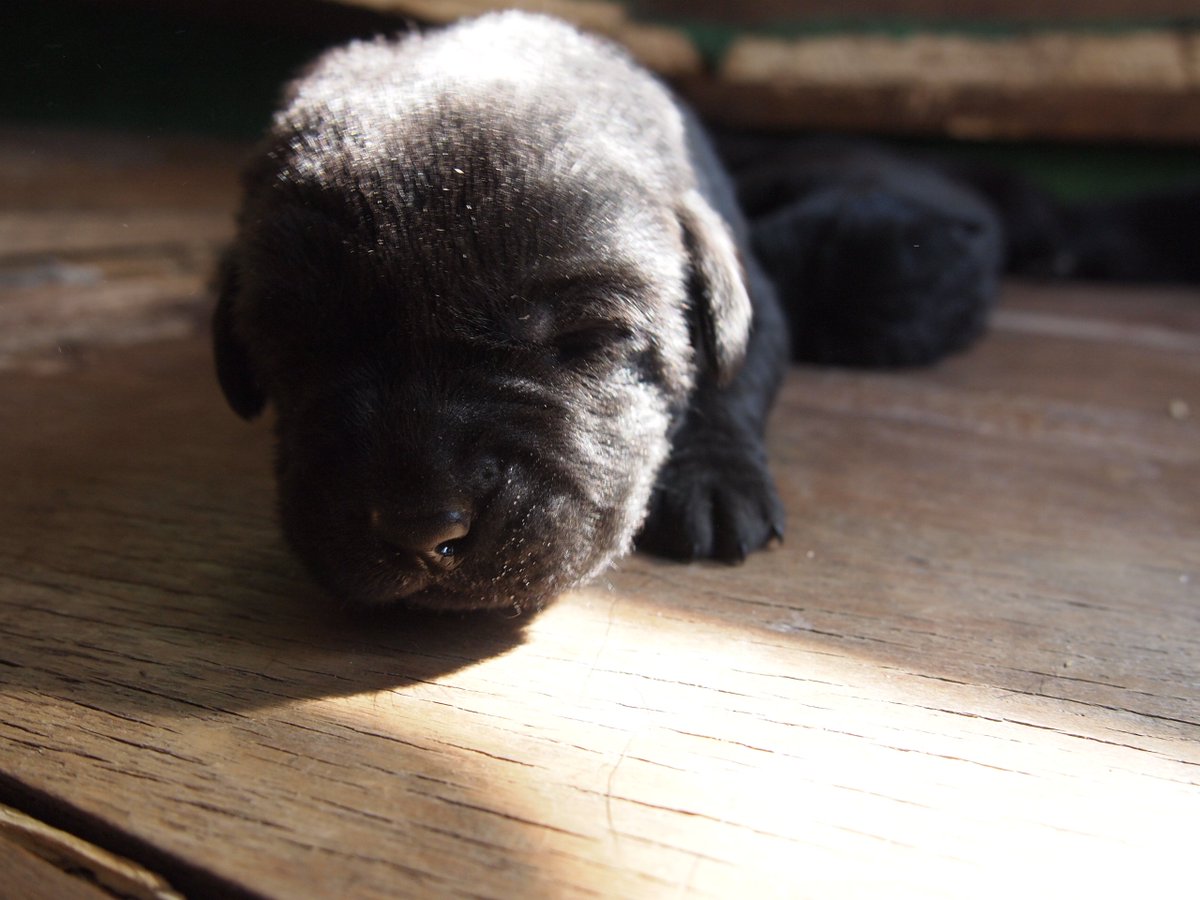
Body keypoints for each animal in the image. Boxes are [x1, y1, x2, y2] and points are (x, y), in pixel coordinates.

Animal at [216, 12, 792, 614]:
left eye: (589, 335)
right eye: (300, 345)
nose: (422, 531)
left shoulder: (756, 304)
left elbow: (729, 380)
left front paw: (713, 478)